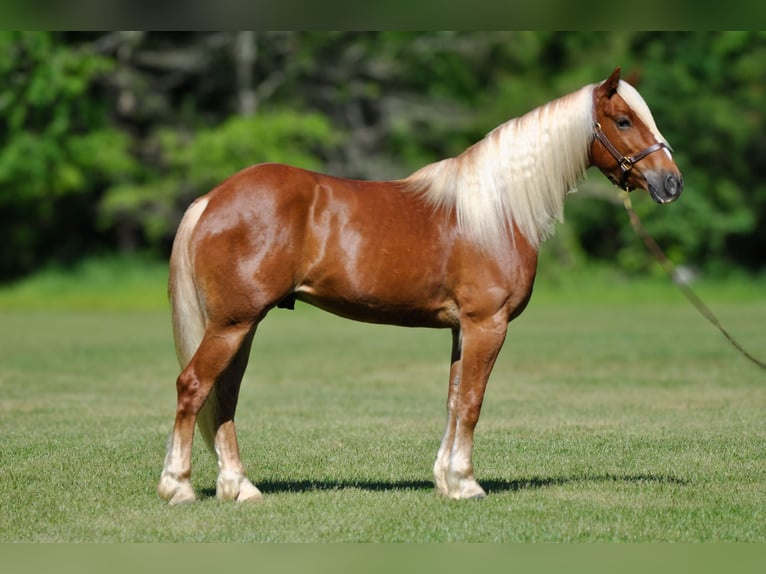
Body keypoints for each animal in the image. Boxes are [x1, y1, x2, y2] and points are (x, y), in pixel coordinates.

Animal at [158, 67, 683, 503]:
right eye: (623, 120)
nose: (671, 183)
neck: (497, 210)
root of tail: (211, 199)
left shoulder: (461, 329)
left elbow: (453, 400)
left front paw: (446, 481)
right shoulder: (487, 324)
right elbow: (471, 402)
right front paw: (467, 484)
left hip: (240, 325)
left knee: (223, 396)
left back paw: (240, 488)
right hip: (233, 322)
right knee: (193, 387)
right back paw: (178, 487)